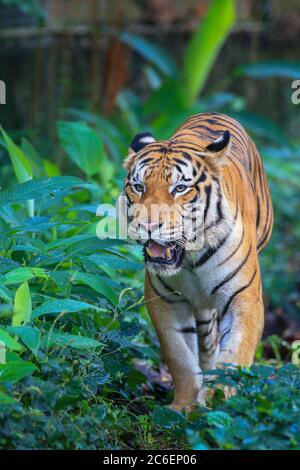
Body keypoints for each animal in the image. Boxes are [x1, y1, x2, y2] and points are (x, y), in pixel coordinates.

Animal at [122, 112, 274, 410]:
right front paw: (183, 406)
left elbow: (234, 355)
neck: (190, 259)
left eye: (180, 188)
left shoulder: (244, 298)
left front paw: (217, 399)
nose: (148, 225)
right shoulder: (165, 301)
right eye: (139, 187)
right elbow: (180, 358)